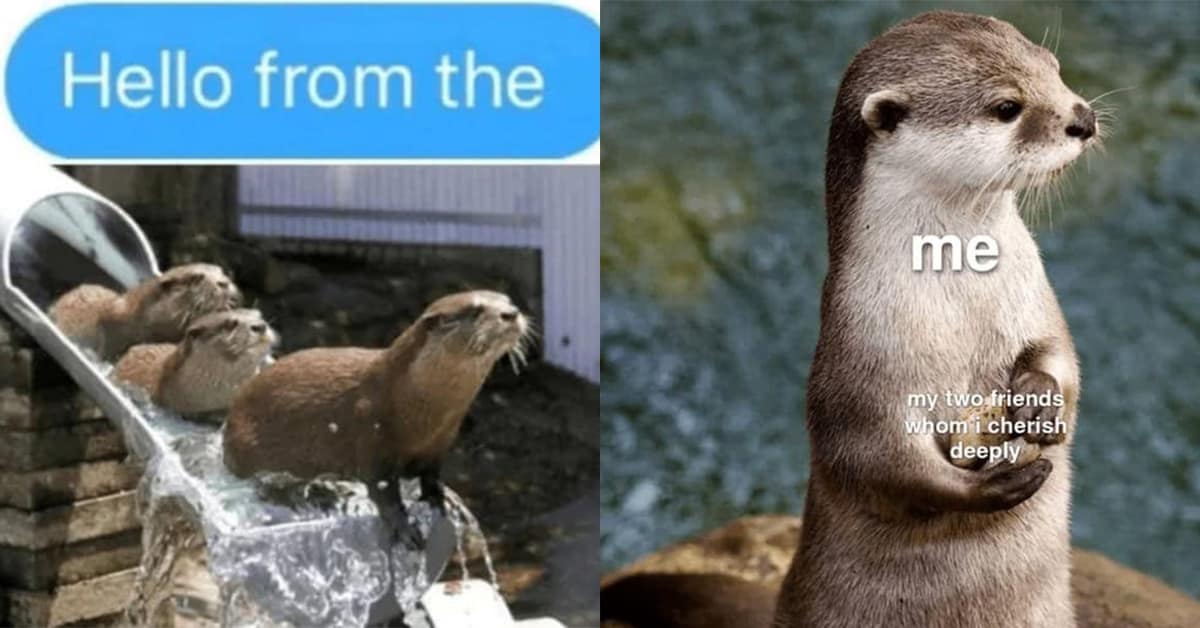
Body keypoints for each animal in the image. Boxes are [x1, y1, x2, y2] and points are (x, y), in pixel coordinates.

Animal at [222, 290, 530, 510]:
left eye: (508, 300)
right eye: (476, 310)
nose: (511, 313)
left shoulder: (440, 443)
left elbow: (431, 475)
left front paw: (440, 498)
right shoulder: (372, 431)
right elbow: (382, 488)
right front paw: (403, 526)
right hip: (248, 447)